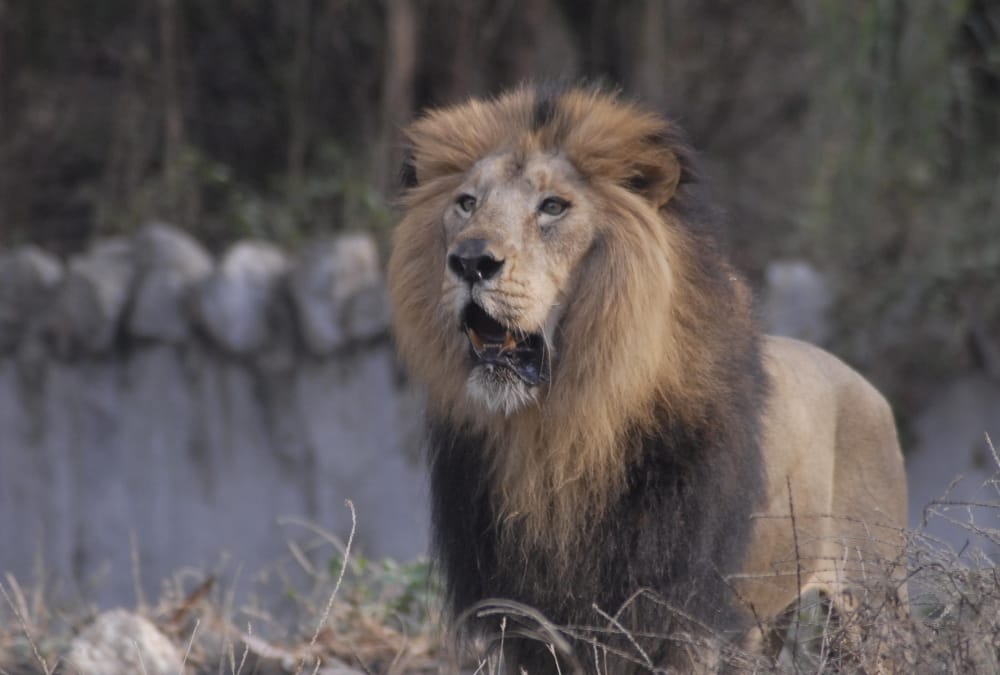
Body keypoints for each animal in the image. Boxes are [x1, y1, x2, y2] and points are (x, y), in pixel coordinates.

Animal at [387, 84, 908, 673]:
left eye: (553, 207)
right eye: (467, 203)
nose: (471, 261)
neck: (560, 430)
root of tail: (868, 388)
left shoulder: (682, 619)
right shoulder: (532, 628)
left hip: (870, 605)